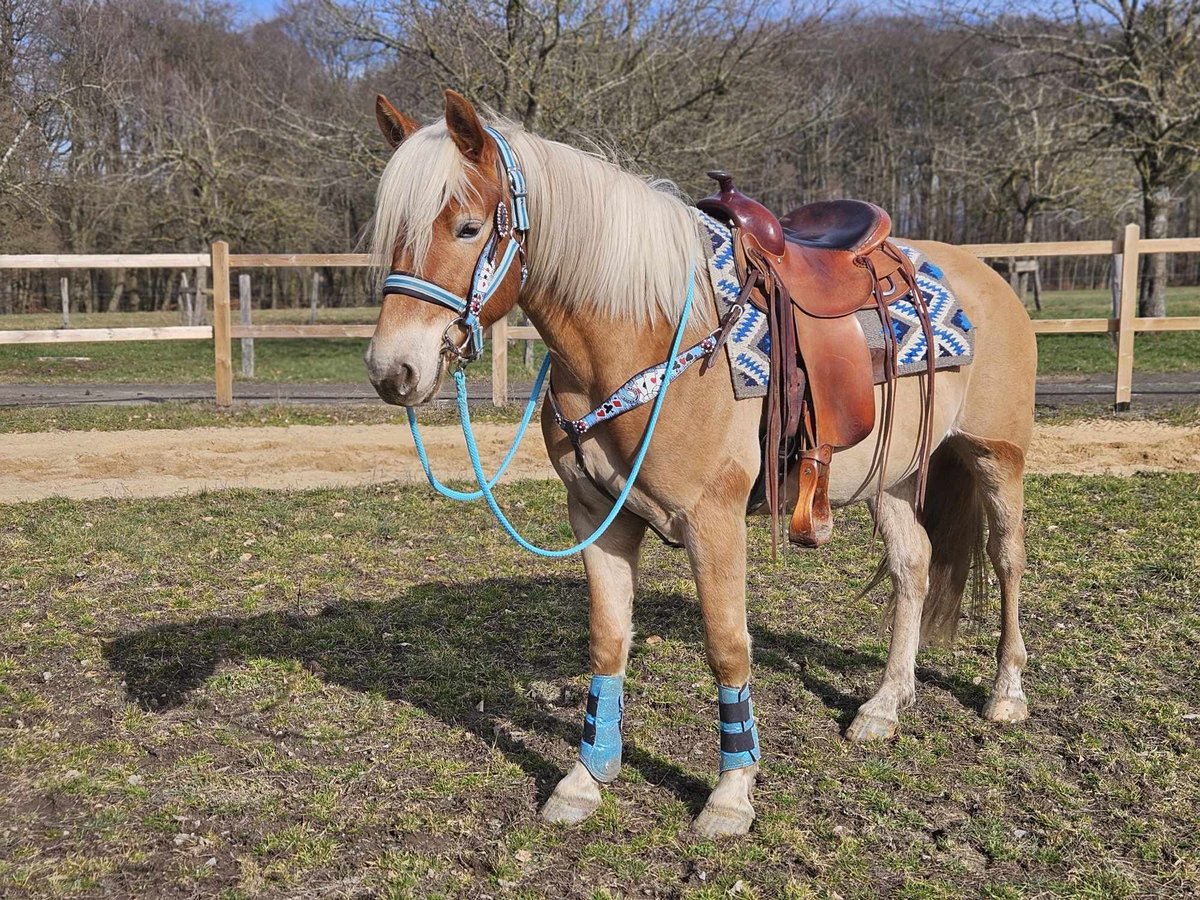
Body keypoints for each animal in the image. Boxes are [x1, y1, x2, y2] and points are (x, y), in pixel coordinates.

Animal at [364, 91, 1041, 840]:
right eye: (390, 231)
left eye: (467, 227)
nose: (393, 370)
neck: (648, 335)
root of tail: (984, 275)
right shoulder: (597, 516)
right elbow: (608, 641)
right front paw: (584, 779)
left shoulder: (714, 523)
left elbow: (727, 645)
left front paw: (731, 794)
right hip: (889, 477)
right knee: (912, 566)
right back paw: (884, 706)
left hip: (997, 458)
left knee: (1008, 559)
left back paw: (1007, 694)